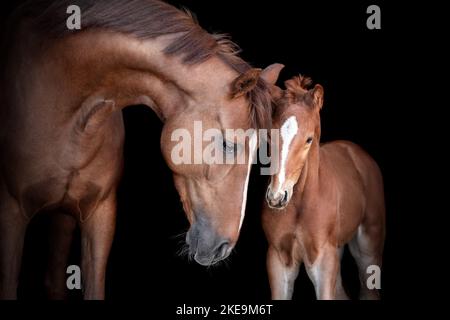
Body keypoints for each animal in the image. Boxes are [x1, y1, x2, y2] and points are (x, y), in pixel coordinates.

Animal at [262, 75, 384, 300]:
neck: (301, 203)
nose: (276, 197)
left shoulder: (323, 261)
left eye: (309, 139)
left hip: (368, 247)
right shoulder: (278, 259)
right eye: (269, 136)